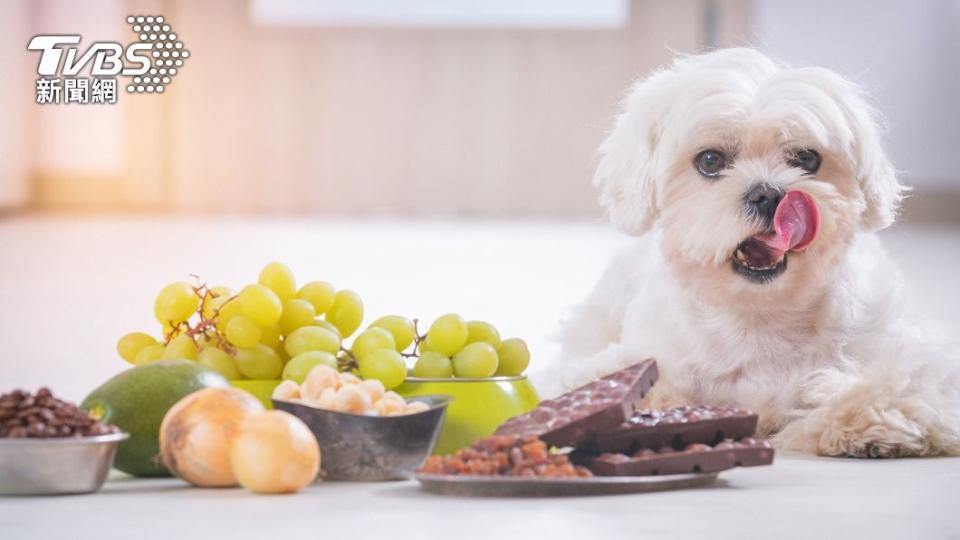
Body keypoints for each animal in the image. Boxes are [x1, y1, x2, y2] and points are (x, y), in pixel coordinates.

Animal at [552, 48, 960, 458]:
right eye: (710, 161)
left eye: (806, 159)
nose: (768, 194)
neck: (758, 315)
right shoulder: (644, 356)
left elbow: (900, 382)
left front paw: (863, 420)